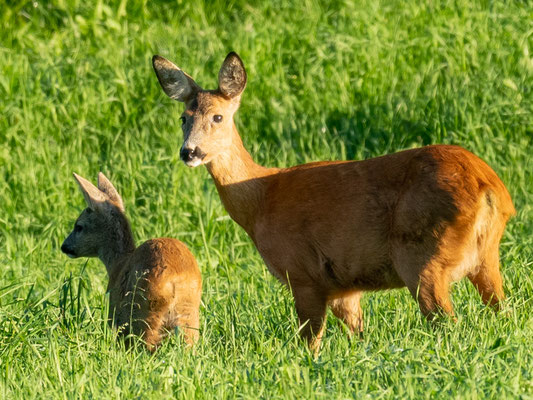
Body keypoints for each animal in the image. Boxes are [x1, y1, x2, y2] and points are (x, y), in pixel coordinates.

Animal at [60, 172, 202, 350]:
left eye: (79, 226)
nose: (64, 246)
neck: (118, 262)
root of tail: (175, 280)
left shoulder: (116, 310)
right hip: (189, 312)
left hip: (145, 309)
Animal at [152, 52, 512, 350]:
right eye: (183, 118)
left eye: (217, 117)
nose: (190, 152)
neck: (261, 199)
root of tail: (491, 188)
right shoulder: (344, 287)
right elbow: (359, 334)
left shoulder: (302, 273)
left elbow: (310, 341)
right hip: (485, 257)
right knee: (504, 310)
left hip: (423, 255)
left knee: (446, 321)